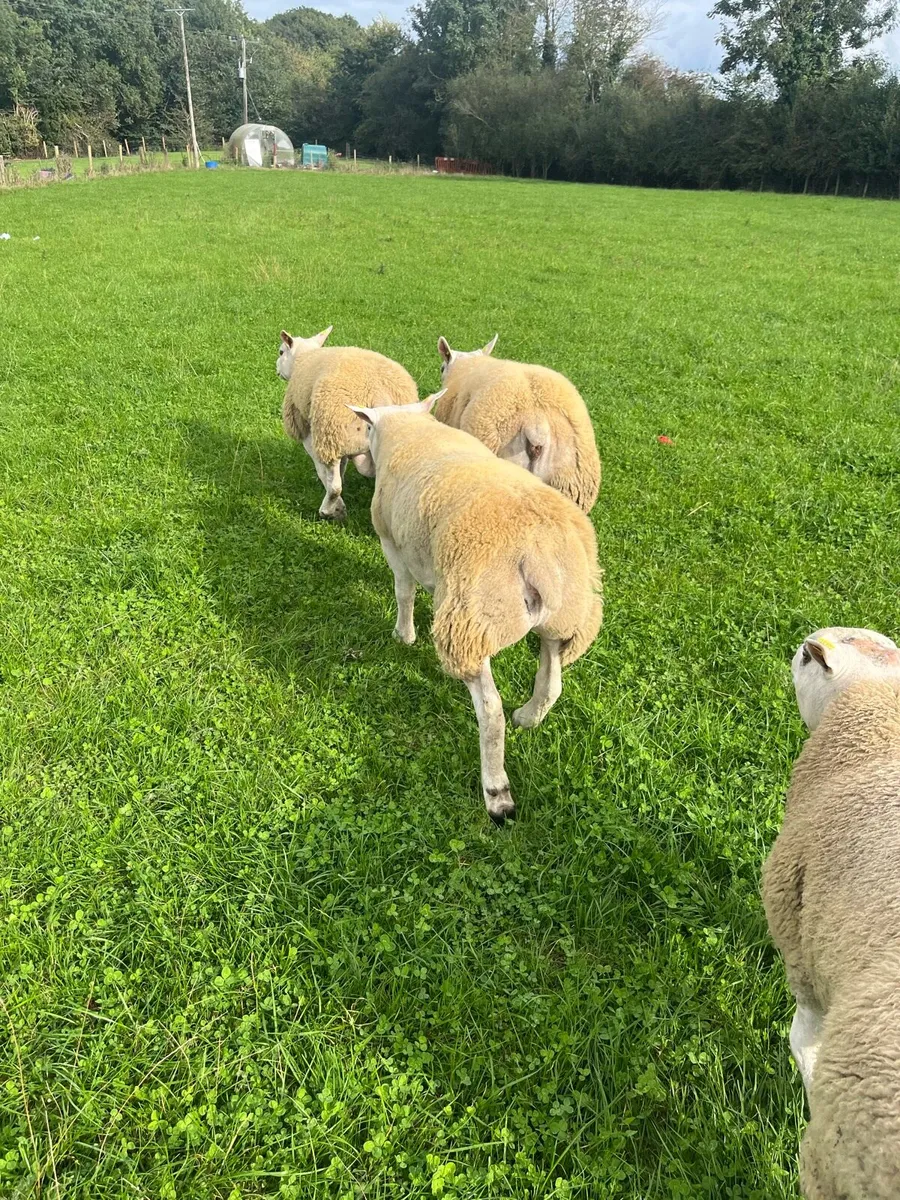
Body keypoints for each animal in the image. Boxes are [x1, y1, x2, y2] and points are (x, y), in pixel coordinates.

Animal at [277, 326, 419, 519]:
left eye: (281, 352)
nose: (276, 368)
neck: (305, 357)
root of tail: (378, 391)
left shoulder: (309, 432)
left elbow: (325, 474)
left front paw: (336, 504)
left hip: (330, 431)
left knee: (335, 485)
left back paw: (329, 510)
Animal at [347, 396, 603, 823]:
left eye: (366, 428)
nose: (358, 461)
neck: (408, 431)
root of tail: (539, 554)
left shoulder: (392, 542)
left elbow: (403, 591)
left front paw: (404, 636)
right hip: (565, 619)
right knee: (551, 683)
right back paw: (527, 717)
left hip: (474, 619)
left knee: (490, 711)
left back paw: (497, 793)